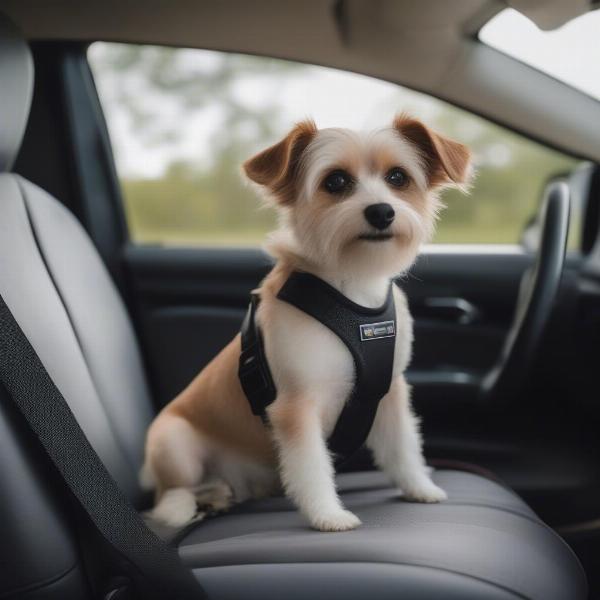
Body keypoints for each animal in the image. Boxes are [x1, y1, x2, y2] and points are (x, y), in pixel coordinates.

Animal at [142, 115, 474, 532]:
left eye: (398, 177)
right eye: (335, 181)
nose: (382, 212)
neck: (351, 290)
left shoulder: (390, 392)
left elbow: (403, 447)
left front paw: (419, 487)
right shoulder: (295, 407)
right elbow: (311, 466)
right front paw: (328, 515)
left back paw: (219, 495)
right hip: (174, 442)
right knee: (173, 492)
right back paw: (184, 506)